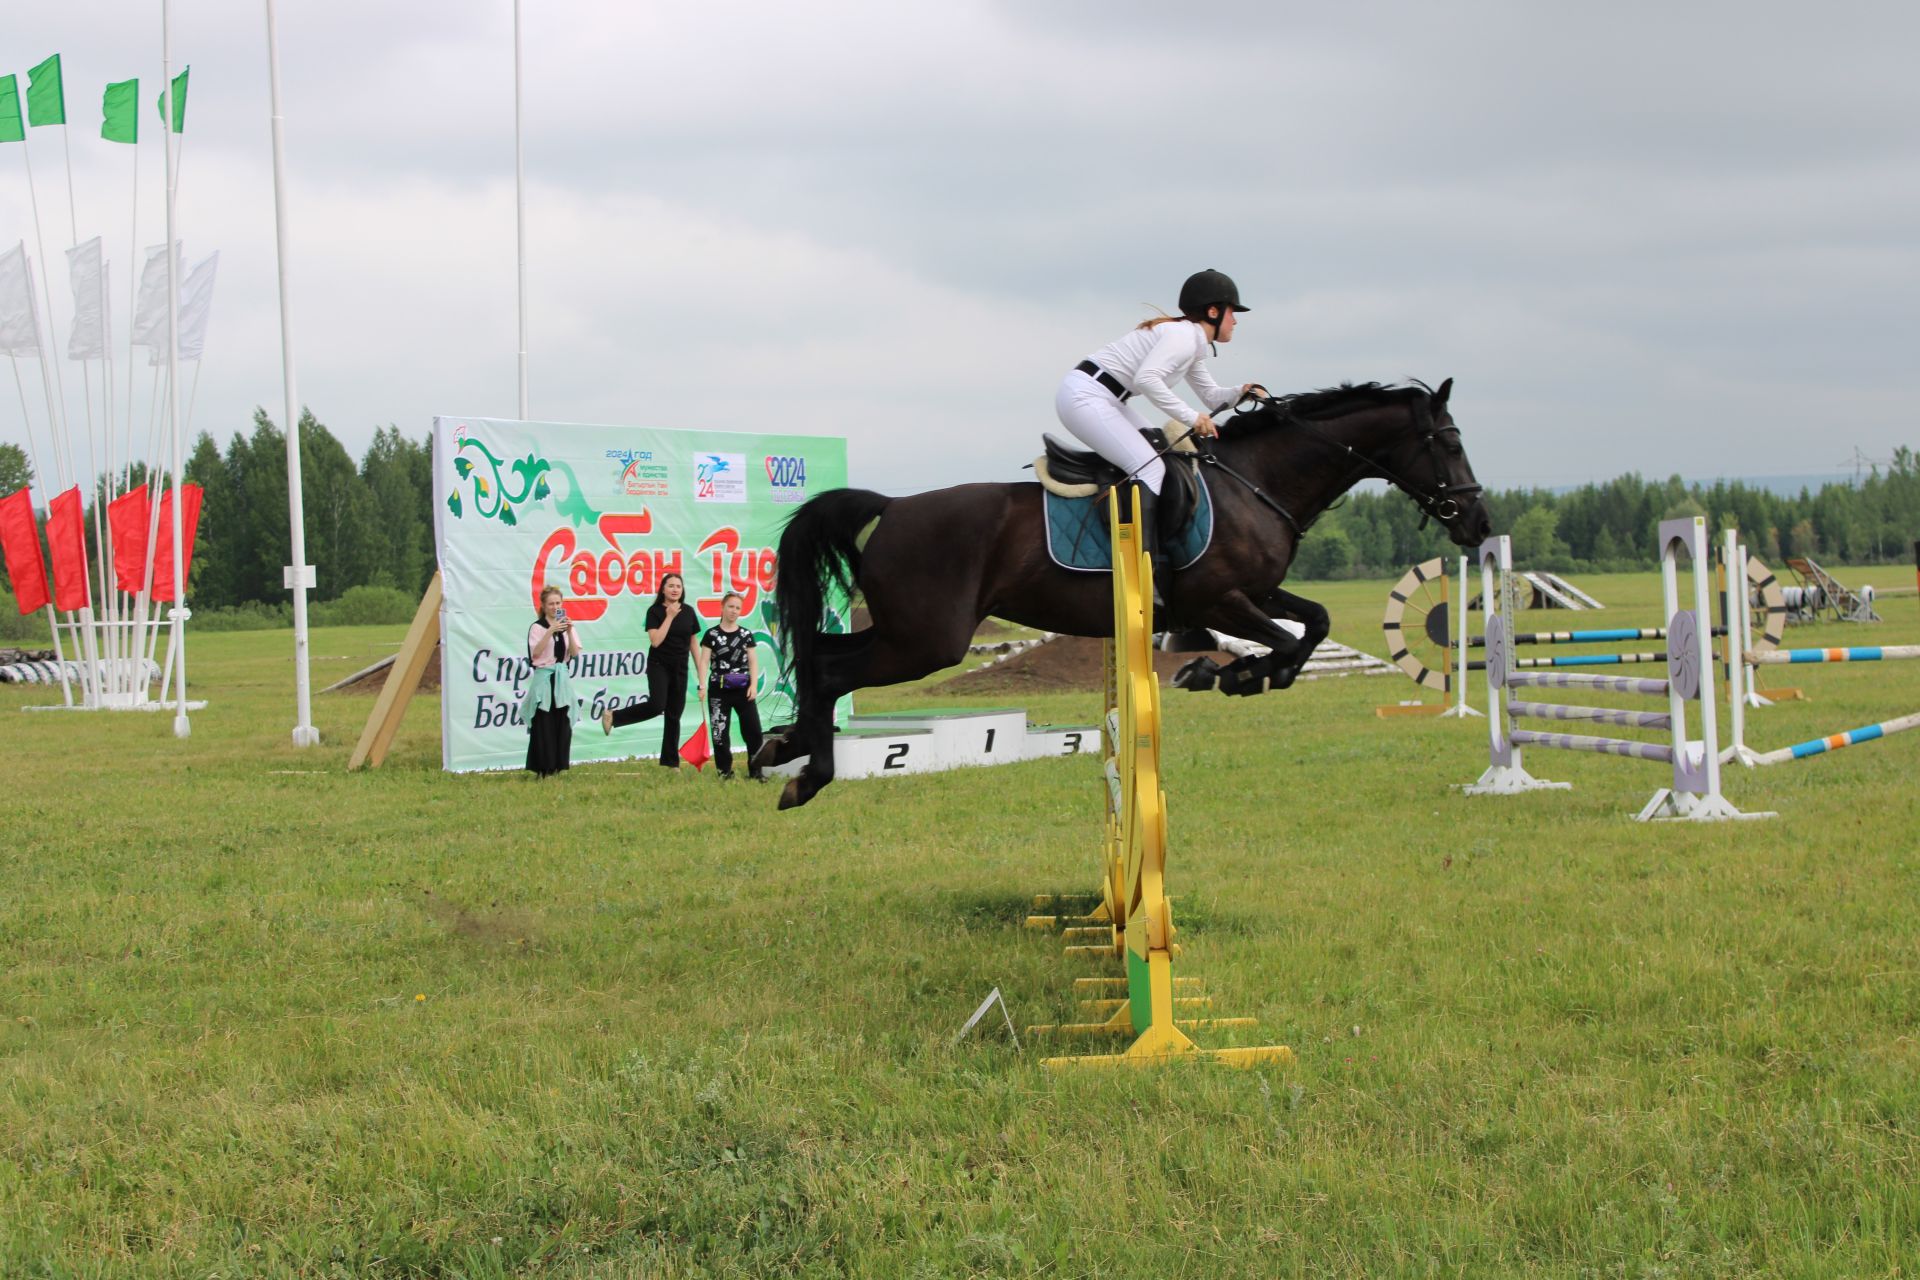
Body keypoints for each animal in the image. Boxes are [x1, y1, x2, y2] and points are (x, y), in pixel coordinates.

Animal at [756, 376, 1489, 809]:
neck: (1256, 481)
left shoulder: (1256, 593)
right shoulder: (1220, 600)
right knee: (831, 666)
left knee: (820, 653)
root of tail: (894, 505)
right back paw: (804, 773)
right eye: (1450, 443)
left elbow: (1315, 622)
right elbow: (1287, 643)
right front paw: (1225, 674)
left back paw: (783, 745)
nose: (1478, 523)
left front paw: (1233, 673)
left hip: (906, 633)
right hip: (927, 641)